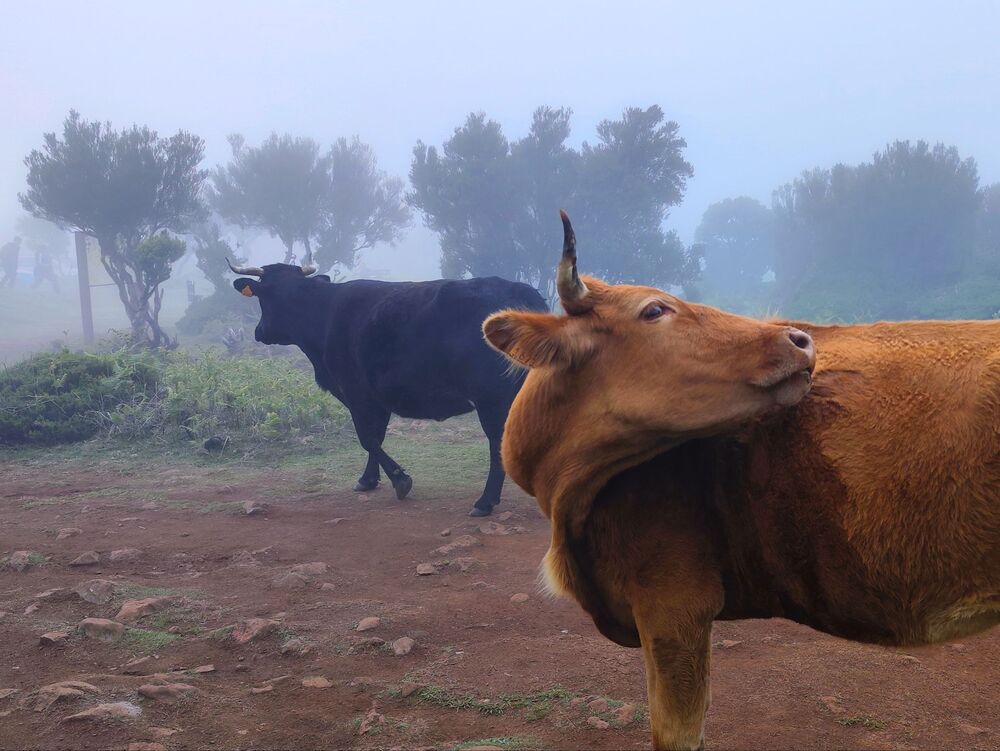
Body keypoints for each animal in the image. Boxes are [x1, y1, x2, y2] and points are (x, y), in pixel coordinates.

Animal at [229, 255, 547, 517]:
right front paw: (369, 480)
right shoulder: (376, 399)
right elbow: (376, 438)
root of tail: (519, 290)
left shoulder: (357, 395)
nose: (259, 332)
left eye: (263, 295)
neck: (323, 315)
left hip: (491, 398)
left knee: (497, 442)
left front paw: (399, 479)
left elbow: (368, 438)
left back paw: (485, 501)